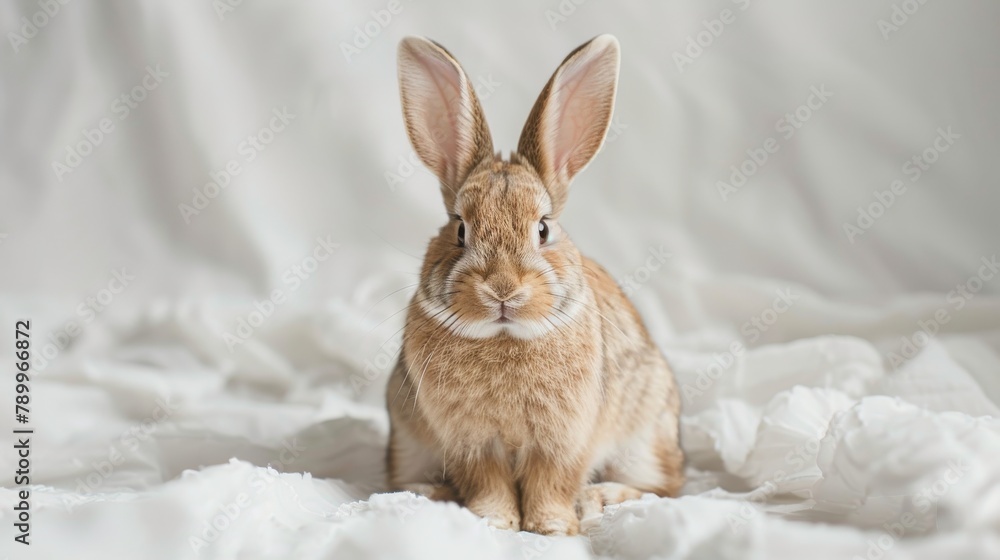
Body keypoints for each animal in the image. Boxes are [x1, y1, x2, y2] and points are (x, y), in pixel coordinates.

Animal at [386, 34, 684, 536]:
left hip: (644, 436)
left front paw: (553, 527)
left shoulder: (563, 440)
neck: (504, 337)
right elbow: (487, 483)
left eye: (543, 229)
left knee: (665, 486)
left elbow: (551, 483)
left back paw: (599, 498)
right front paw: (493, 522)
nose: (503, 290)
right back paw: (433, 494)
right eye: (460, 229)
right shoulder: (470, 442)